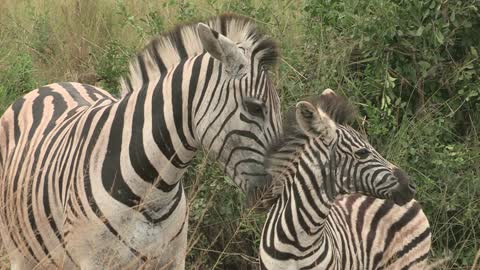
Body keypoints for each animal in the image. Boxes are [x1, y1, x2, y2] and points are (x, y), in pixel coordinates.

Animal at [0, 14, 282, 270]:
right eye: (255, 108)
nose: (279, 192)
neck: (154, 191)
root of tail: (52, 86)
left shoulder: (172, 260)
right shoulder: (95, 261)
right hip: (20, 252)